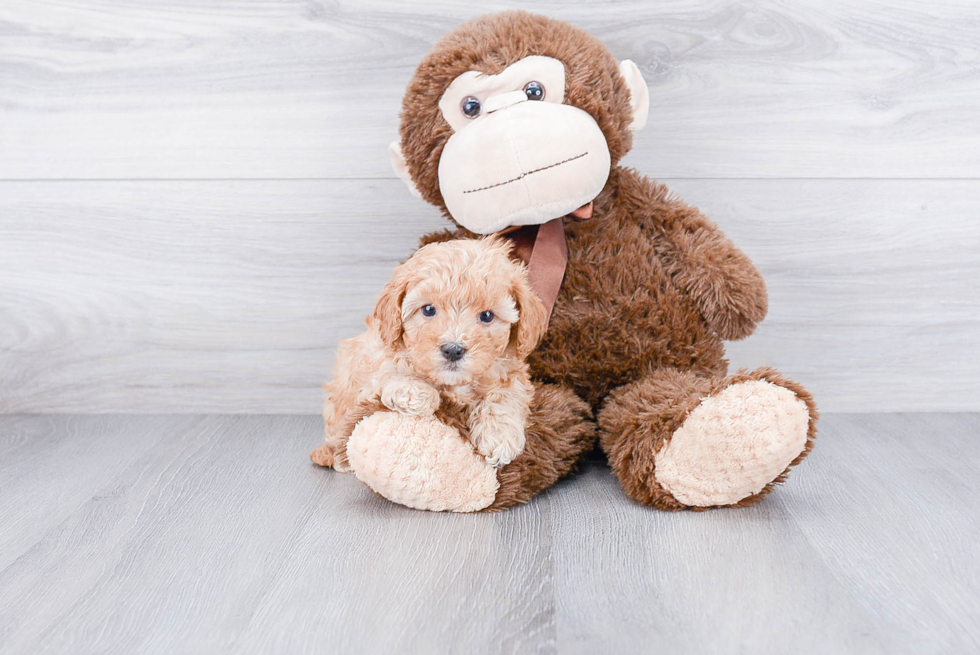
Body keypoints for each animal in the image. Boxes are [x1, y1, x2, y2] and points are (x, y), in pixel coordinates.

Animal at [310, 238, 548, 474]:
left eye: (487, 315)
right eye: (428, 310)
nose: (453, 350)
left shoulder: (511, 371)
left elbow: (504, 394)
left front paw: (499, 436)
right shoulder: (372, 360)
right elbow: (387, 371)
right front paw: (413, 391)